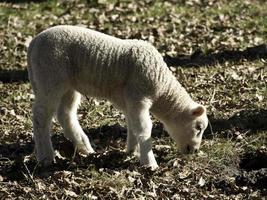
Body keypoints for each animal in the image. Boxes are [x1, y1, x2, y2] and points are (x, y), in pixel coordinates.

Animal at [28, 25, 210, 169]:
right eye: (198, 128)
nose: (195, 151)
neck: (161, 87)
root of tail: (33, 42)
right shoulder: (138, 95)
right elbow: (144, 128)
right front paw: (149, 162)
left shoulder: (128, 100)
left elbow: (132, 124)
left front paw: (131, 151)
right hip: (50, 77)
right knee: (41, 117)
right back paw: (45, 157)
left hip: (68, 86)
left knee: (65, 115)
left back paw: (85, 148)